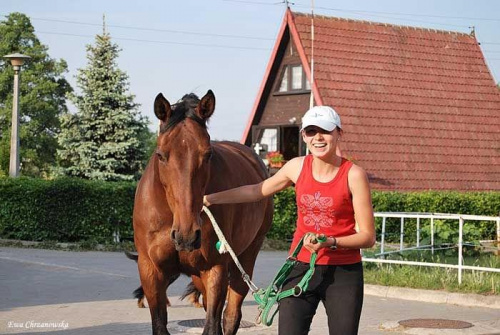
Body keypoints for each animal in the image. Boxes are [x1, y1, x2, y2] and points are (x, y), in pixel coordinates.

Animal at [133, 90, 274, 335]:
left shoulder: (215, 269)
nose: (187, 235)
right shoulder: (150, 270)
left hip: (245, 257)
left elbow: (213, 325)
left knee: (230, 315)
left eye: (207, 154)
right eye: (160, 155)